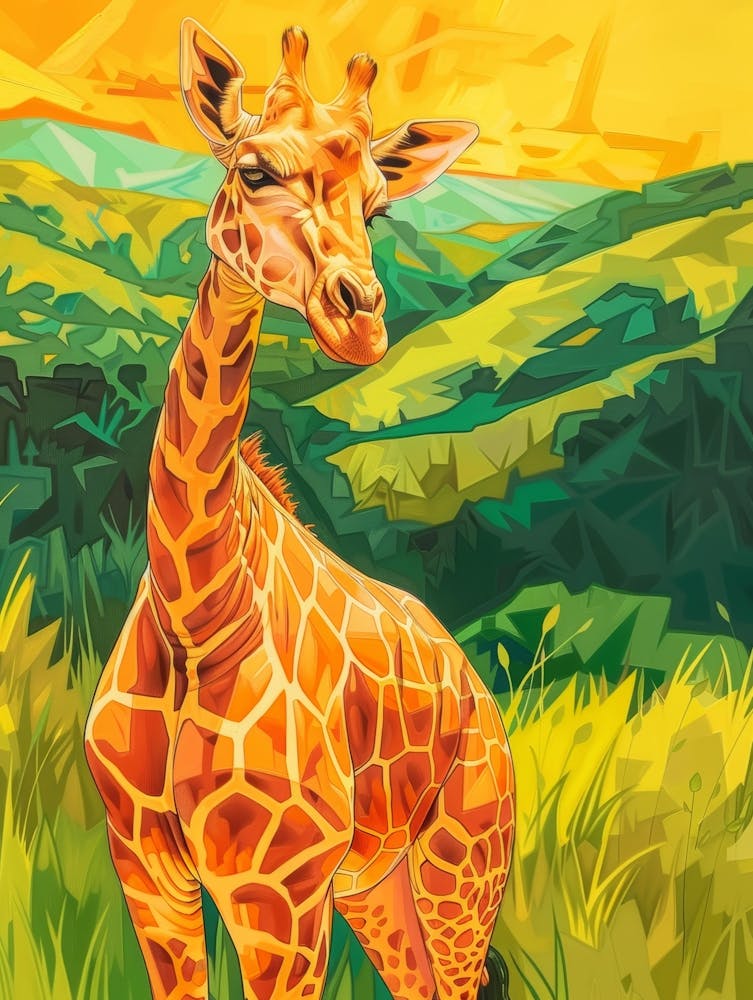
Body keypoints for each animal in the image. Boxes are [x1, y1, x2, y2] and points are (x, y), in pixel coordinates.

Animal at [84, 18, 515, 1000]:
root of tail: (476, 686)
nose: (360, 320)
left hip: (462, 861)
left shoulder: (276, 894)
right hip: (376, 882)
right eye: (253, 170)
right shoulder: (149, 878)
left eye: (378, 208)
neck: (195, 612)